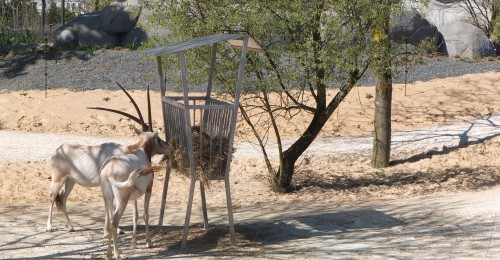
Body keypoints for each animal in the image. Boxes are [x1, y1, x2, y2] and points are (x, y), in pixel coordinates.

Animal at [46, 82, 166, 232]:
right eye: (158, 139)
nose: (167, 145)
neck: (129, 150)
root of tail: (58, 150)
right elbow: (114, 206)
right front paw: (118, 229)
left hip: (70, 181)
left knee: (62, 199)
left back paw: (71, 226)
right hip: (58, 179)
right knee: (52, 196)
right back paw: (49, 226)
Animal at [100, 132, 158, 260]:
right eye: (157, 139)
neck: (142, 151)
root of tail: (109, 171)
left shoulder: (133, 197)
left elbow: (135, 215)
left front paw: (133, 243)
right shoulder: (149, 189)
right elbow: (145, 214)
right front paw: (149, 241)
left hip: (108, 199)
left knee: (110, 221)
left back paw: (109, 254)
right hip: (122, 200)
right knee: (114, 222)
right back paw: (117, 254)